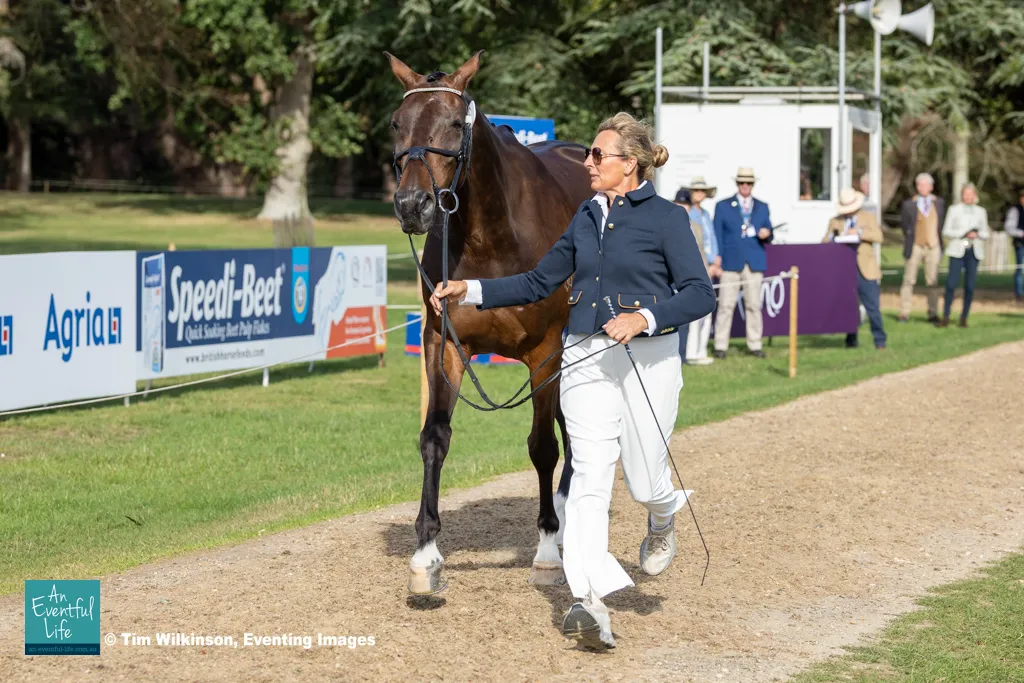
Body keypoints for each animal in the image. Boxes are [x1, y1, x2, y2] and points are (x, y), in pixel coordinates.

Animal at [385, 50, 594, 595]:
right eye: (397, 123)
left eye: (456, 124)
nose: (412, 206)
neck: (493, 238)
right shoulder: (444, 344)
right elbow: (434, 439)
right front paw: (426, 554)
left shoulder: (545, 351)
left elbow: (542, 447)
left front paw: (546, 550)